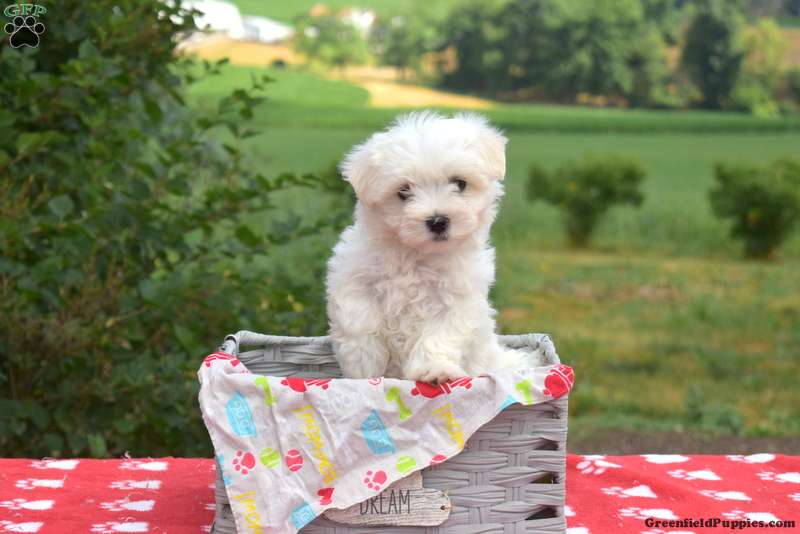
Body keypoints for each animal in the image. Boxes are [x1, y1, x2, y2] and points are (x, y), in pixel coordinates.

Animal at [324, 111, 536, 384]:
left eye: (459, 183)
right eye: (404, 191)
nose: (437, 221)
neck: (416, 256)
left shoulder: (456, 299)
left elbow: (439, 336)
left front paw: (434, 370)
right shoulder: (353, 277)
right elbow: (358, 321)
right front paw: (364, 368)